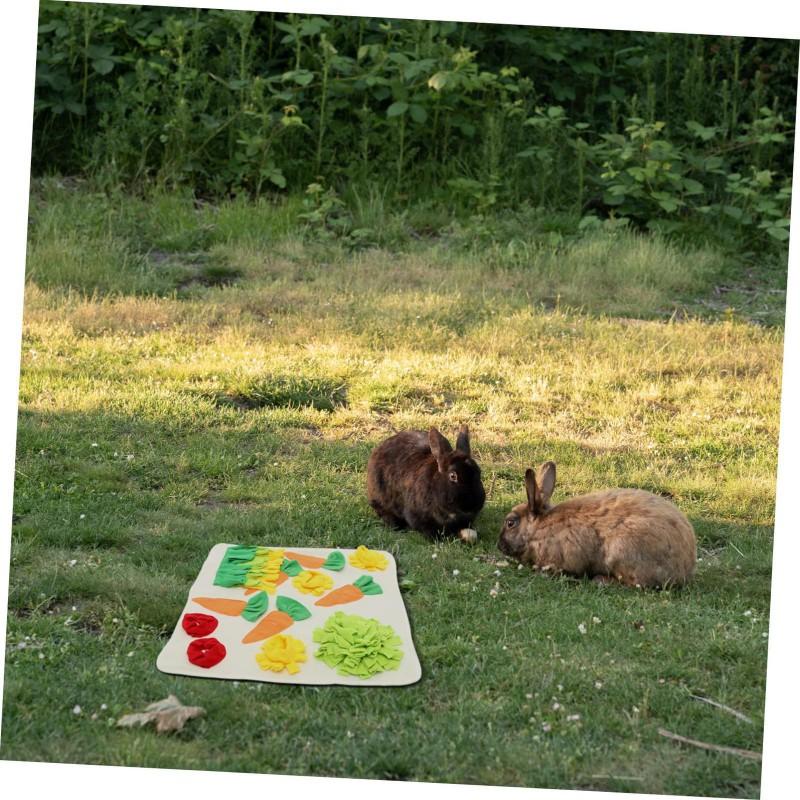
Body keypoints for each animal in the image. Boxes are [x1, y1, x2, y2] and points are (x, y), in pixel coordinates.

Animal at [498, 462, 696, 587]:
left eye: (510, 523)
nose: (499, 546)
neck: (538, 528)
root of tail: (685, 567)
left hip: (622, 553)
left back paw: (600, 581)